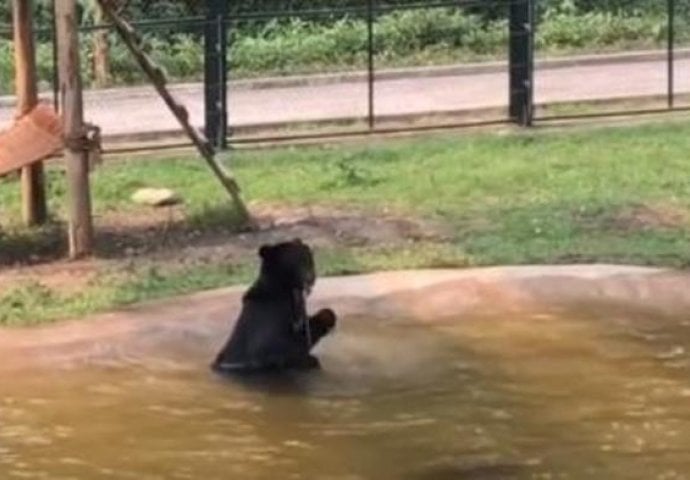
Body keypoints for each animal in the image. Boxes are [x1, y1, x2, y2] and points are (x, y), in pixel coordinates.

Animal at [212, 238, 336, 374]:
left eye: (308, 259)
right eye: (296, 263)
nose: (310, 278)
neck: (283, 288)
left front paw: (327, 315)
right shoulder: (269, 314)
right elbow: (273, 344)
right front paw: (307, 359)